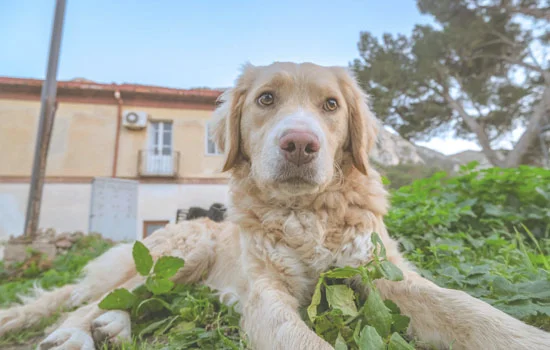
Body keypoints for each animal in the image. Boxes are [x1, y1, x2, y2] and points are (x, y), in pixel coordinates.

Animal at [1, 63, 550, 350]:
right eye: (266, 99)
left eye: (331, 105)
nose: (300, 144)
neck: (306, 213)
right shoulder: (267, 296)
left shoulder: (383, 274)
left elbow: (472, 311)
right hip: (183, 252)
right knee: (96, 299)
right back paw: (75, 334)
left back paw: (113, 326)